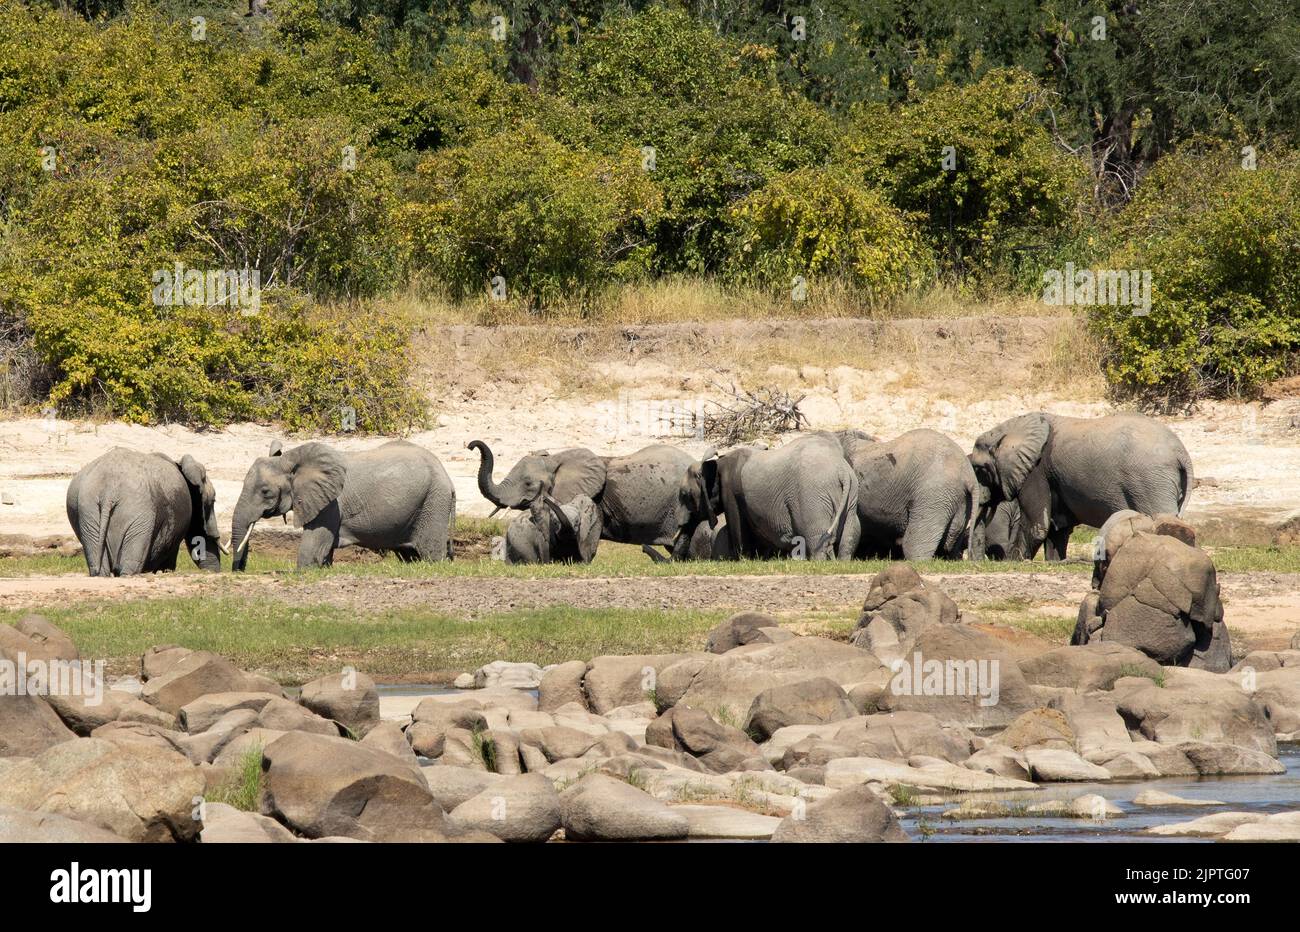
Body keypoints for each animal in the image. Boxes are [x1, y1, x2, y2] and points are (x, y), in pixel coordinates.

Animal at [230, 439, 455, 570]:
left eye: (265, 492)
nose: (239, 571)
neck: (290, 459)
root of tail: (448, 479)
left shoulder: (330, 505)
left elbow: (312, 549)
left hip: (434, 502)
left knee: (431, 553)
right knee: (410, 555)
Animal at [674, 432, 860, 561]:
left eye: (684, 495)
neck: (715, 464)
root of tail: (842, 471)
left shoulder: (731, 491)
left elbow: (738, 528)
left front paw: (742, 559)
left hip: (812, 498)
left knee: (816, 538)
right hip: (850, 499)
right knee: (849, 537)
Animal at [968, 412, 1193, 561]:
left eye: (978, 470)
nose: (974, 561)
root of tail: (1181, 453)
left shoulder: (1036, 472)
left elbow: (1038, 526)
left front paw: (1012, 562)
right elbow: (1058, 529)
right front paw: (1056, 562)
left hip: (1151, 482)